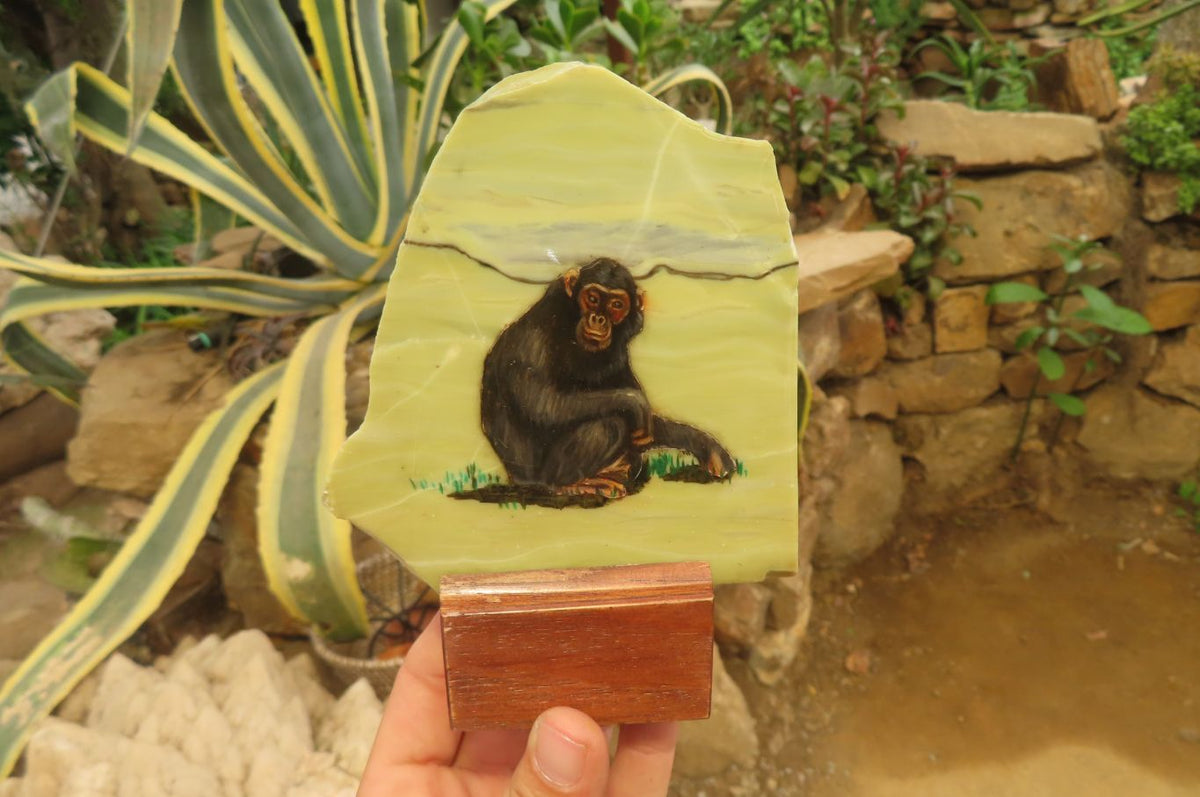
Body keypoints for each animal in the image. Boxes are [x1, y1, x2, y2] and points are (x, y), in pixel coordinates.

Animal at [480, 257, 735, 500]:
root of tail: (516, 477)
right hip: (535, 475)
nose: (599, 318)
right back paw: (572, 484)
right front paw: (635, 402)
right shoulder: (533, 340)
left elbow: (646, 428)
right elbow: (544, 406)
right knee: (610, 425)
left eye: (616, 305)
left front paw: (707, 447)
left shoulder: (620, 352)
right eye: (592, 298)